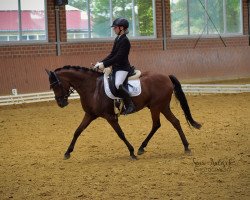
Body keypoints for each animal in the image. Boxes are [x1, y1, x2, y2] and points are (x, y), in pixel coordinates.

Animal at [46, 65, 201, 159]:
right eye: (51, 87)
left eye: (56, 85)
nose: (61, 103)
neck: (92, 88)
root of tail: (166, 76)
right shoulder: (90, 115)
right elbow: (77, 131)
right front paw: (67, 152)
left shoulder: (110, 117)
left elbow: (120, 134)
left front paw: (131, 152)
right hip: (160, 107)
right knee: (171, 122)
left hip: (158, 106)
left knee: (161, 124)